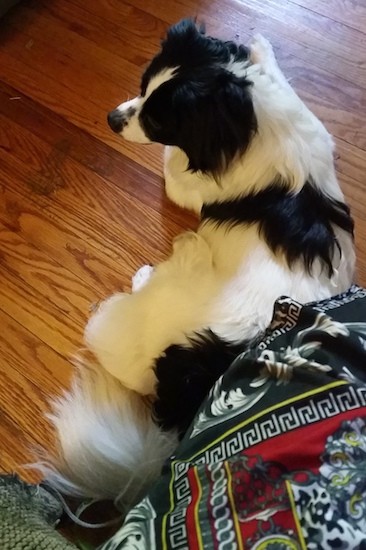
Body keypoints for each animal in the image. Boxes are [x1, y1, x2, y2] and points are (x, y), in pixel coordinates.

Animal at [41, 20, 356, 512]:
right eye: (141, 88)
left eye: (157, 121)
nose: (112, 118)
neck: (249, 122)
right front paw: (260, 50)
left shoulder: (188, 188)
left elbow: (173, 169)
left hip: (131, 318)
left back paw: (166, 261)